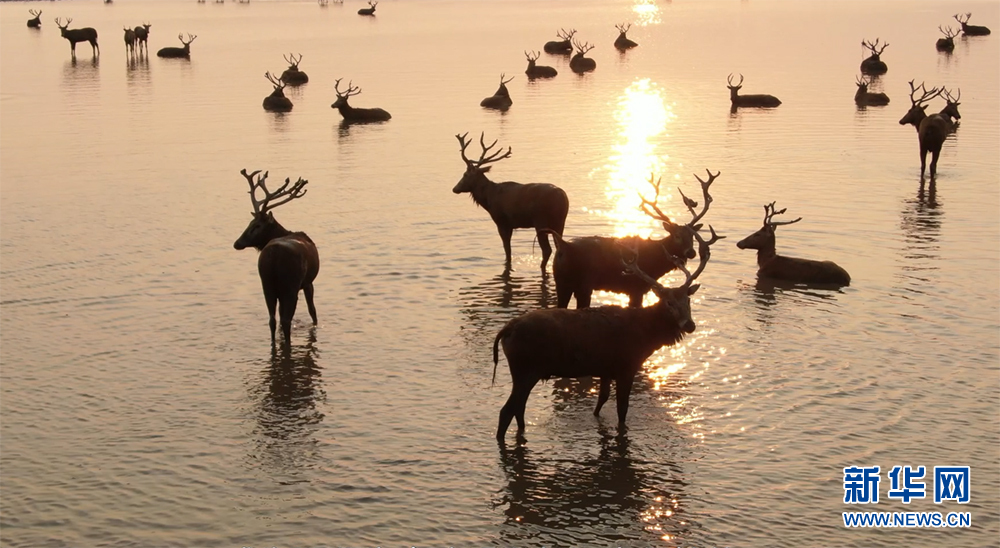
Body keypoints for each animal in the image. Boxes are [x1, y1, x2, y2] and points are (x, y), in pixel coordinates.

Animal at [232, 168, 318, 346]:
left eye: (256, 225)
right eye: (251, 223)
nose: (237, 243)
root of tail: (273, 256)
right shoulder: (308, 282)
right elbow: (312, 310)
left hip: (267, 285)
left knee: (272, 319)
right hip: (290, 285)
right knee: (285, 319)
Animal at [454, 132, 572, 270]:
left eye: (465, 174)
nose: (454, 188)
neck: (488, 199)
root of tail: (562, 196)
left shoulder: (502, 222)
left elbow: (507, 250)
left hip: (541, 221)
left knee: (547, 250)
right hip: (560, 222)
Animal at [490, 225, 720, 444]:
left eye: (688, 300)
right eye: (669, 302)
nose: (689, 325)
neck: (646, 335)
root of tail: (505, 330)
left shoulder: (606, 369)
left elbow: (600, 402)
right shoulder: (626, 366)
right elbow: (622, 410)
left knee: (519, 409)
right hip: (526, 369)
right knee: (506, 411)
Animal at [556, 170, 720, 308]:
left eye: (692, 236)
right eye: (677, 235)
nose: (691, 252)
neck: (656, 264)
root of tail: (563, 246)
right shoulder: (636, 288)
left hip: (563, 284)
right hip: (583, 285)